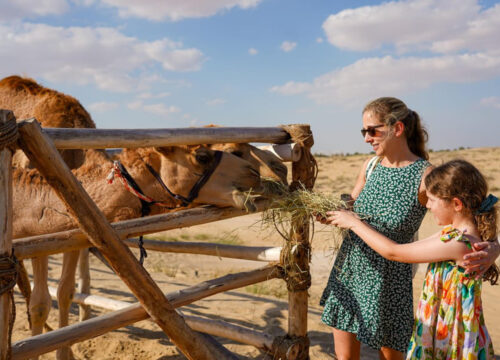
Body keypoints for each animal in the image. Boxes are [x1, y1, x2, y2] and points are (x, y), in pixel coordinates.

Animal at [1, 74, 288, 358]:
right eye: (203, 155)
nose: (267, 172)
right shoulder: (40, 235)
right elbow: (40, 303)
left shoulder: (69, 227)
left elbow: (64, 292)